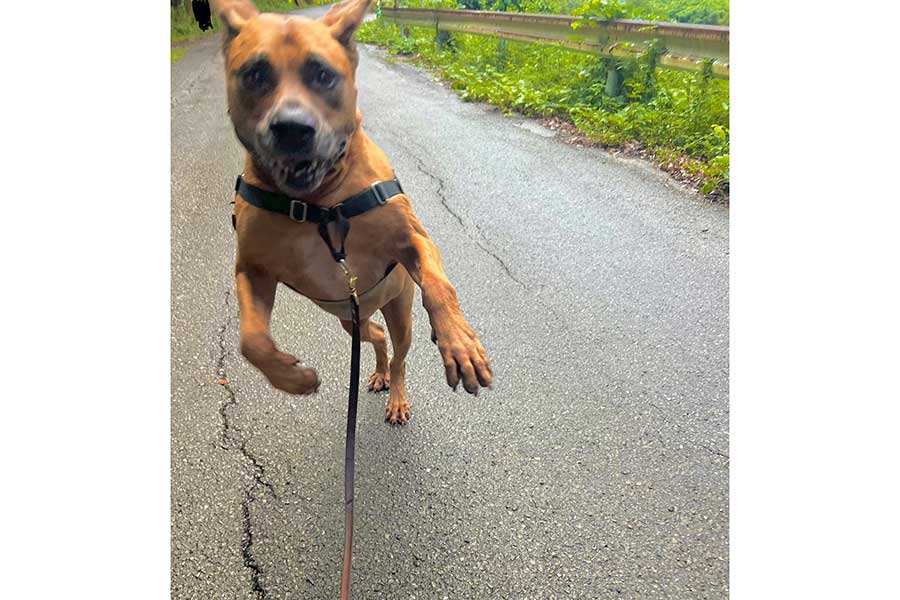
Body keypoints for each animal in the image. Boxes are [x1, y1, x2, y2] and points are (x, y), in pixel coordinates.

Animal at [212, 0, 492, 424]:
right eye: (255, 73)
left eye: (323, 74)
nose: (292, 128)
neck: (320, 204)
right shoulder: (252, 269)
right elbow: (251, 340)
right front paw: (293, 378)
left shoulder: (413, 239)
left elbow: (440, 286)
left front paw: (460, 343)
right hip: (350, 318)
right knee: (375, 338)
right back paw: (376, 371)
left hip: (399, 309)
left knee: (399, 355)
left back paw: (397, 393)